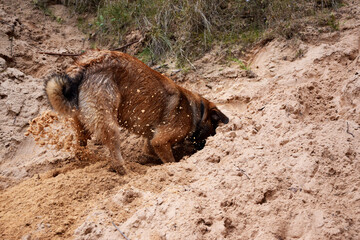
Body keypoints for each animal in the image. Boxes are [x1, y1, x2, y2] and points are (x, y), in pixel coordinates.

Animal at [44, 49, 228, 173]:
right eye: (213, 131)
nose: (203, 148)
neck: (196, 111)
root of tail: (84, 66)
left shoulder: (152, 143)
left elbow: (151, 152)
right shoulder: (160, 141)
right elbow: (171, 160)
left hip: (81, 124)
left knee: (80, 150)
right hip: (109, 124)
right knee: (115, 157)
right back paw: (126, 171)